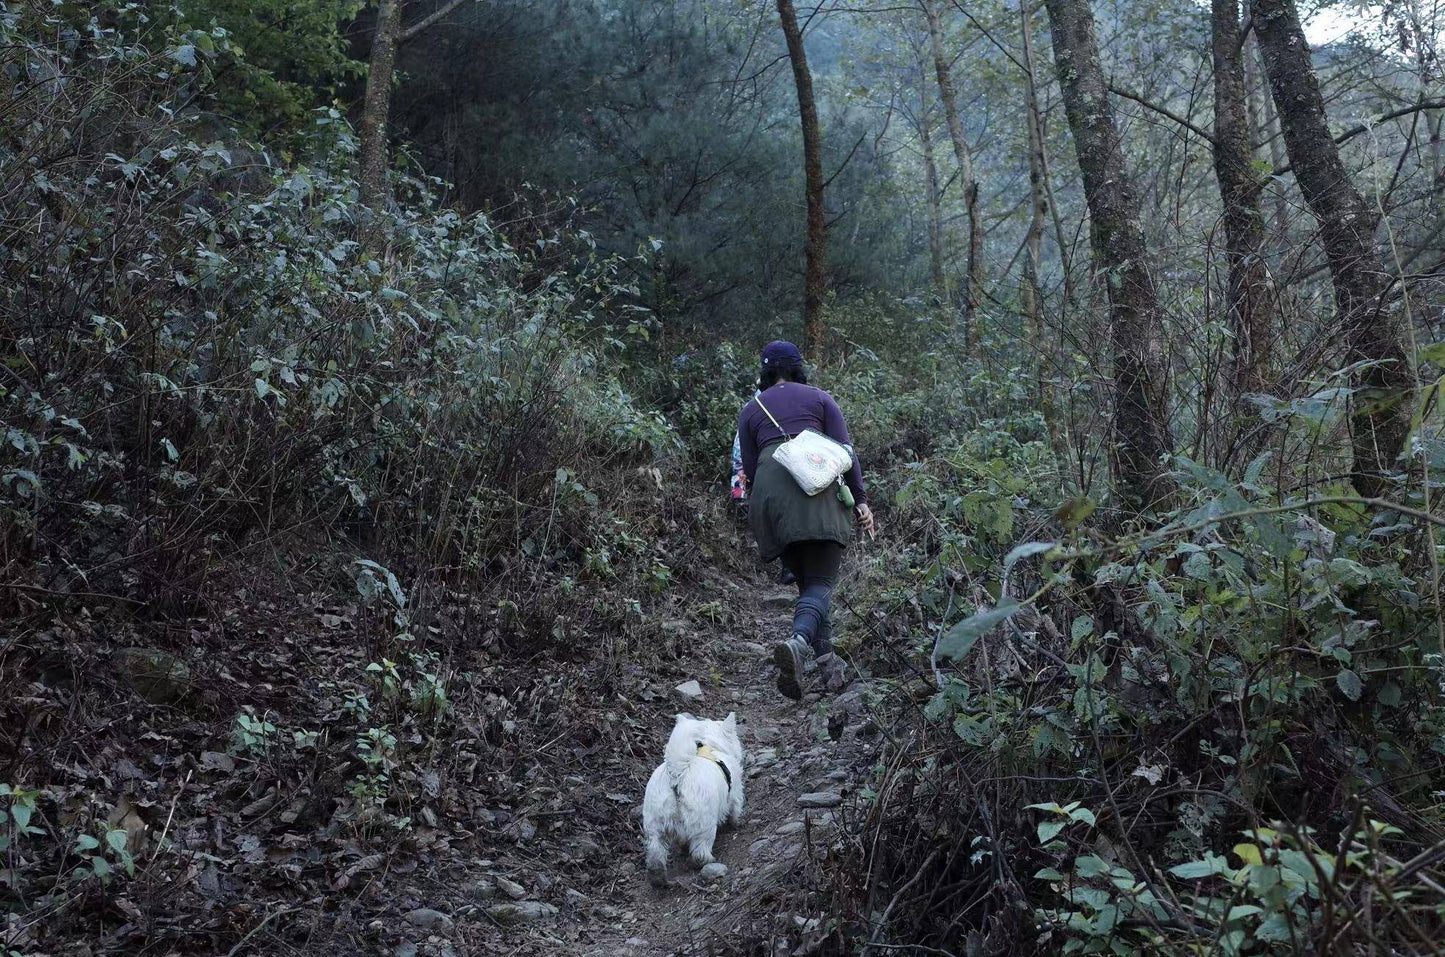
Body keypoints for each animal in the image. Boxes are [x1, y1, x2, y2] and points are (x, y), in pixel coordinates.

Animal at [644, 711, 745, 890]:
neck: (709, 745)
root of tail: (677, 774)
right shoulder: (735, 792)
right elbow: (735, 809)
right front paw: (736, 823)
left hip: (655, 824)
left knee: (656, 854)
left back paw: (658, 879)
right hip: (704, 822)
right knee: (700, 852)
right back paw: (707, 860)